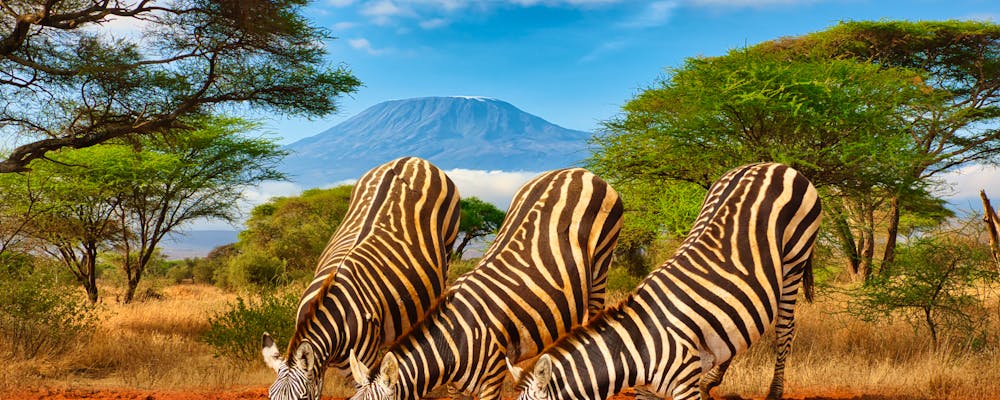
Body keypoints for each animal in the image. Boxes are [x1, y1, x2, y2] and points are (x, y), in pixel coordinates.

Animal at [260, 157, 461, 400]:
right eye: (270, 396)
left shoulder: (359, 362)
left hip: (449, 245)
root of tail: (412, 159)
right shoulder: (320, 367)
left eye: (302, 398)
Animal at [510, 162, 822, 400]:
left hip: (795, 258)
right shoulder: (647, 391)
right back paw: (711, 381)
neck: (638, 350)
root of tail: (774, 164)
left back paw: (774, 392)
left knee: (785, 328)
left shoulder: (684, 385)